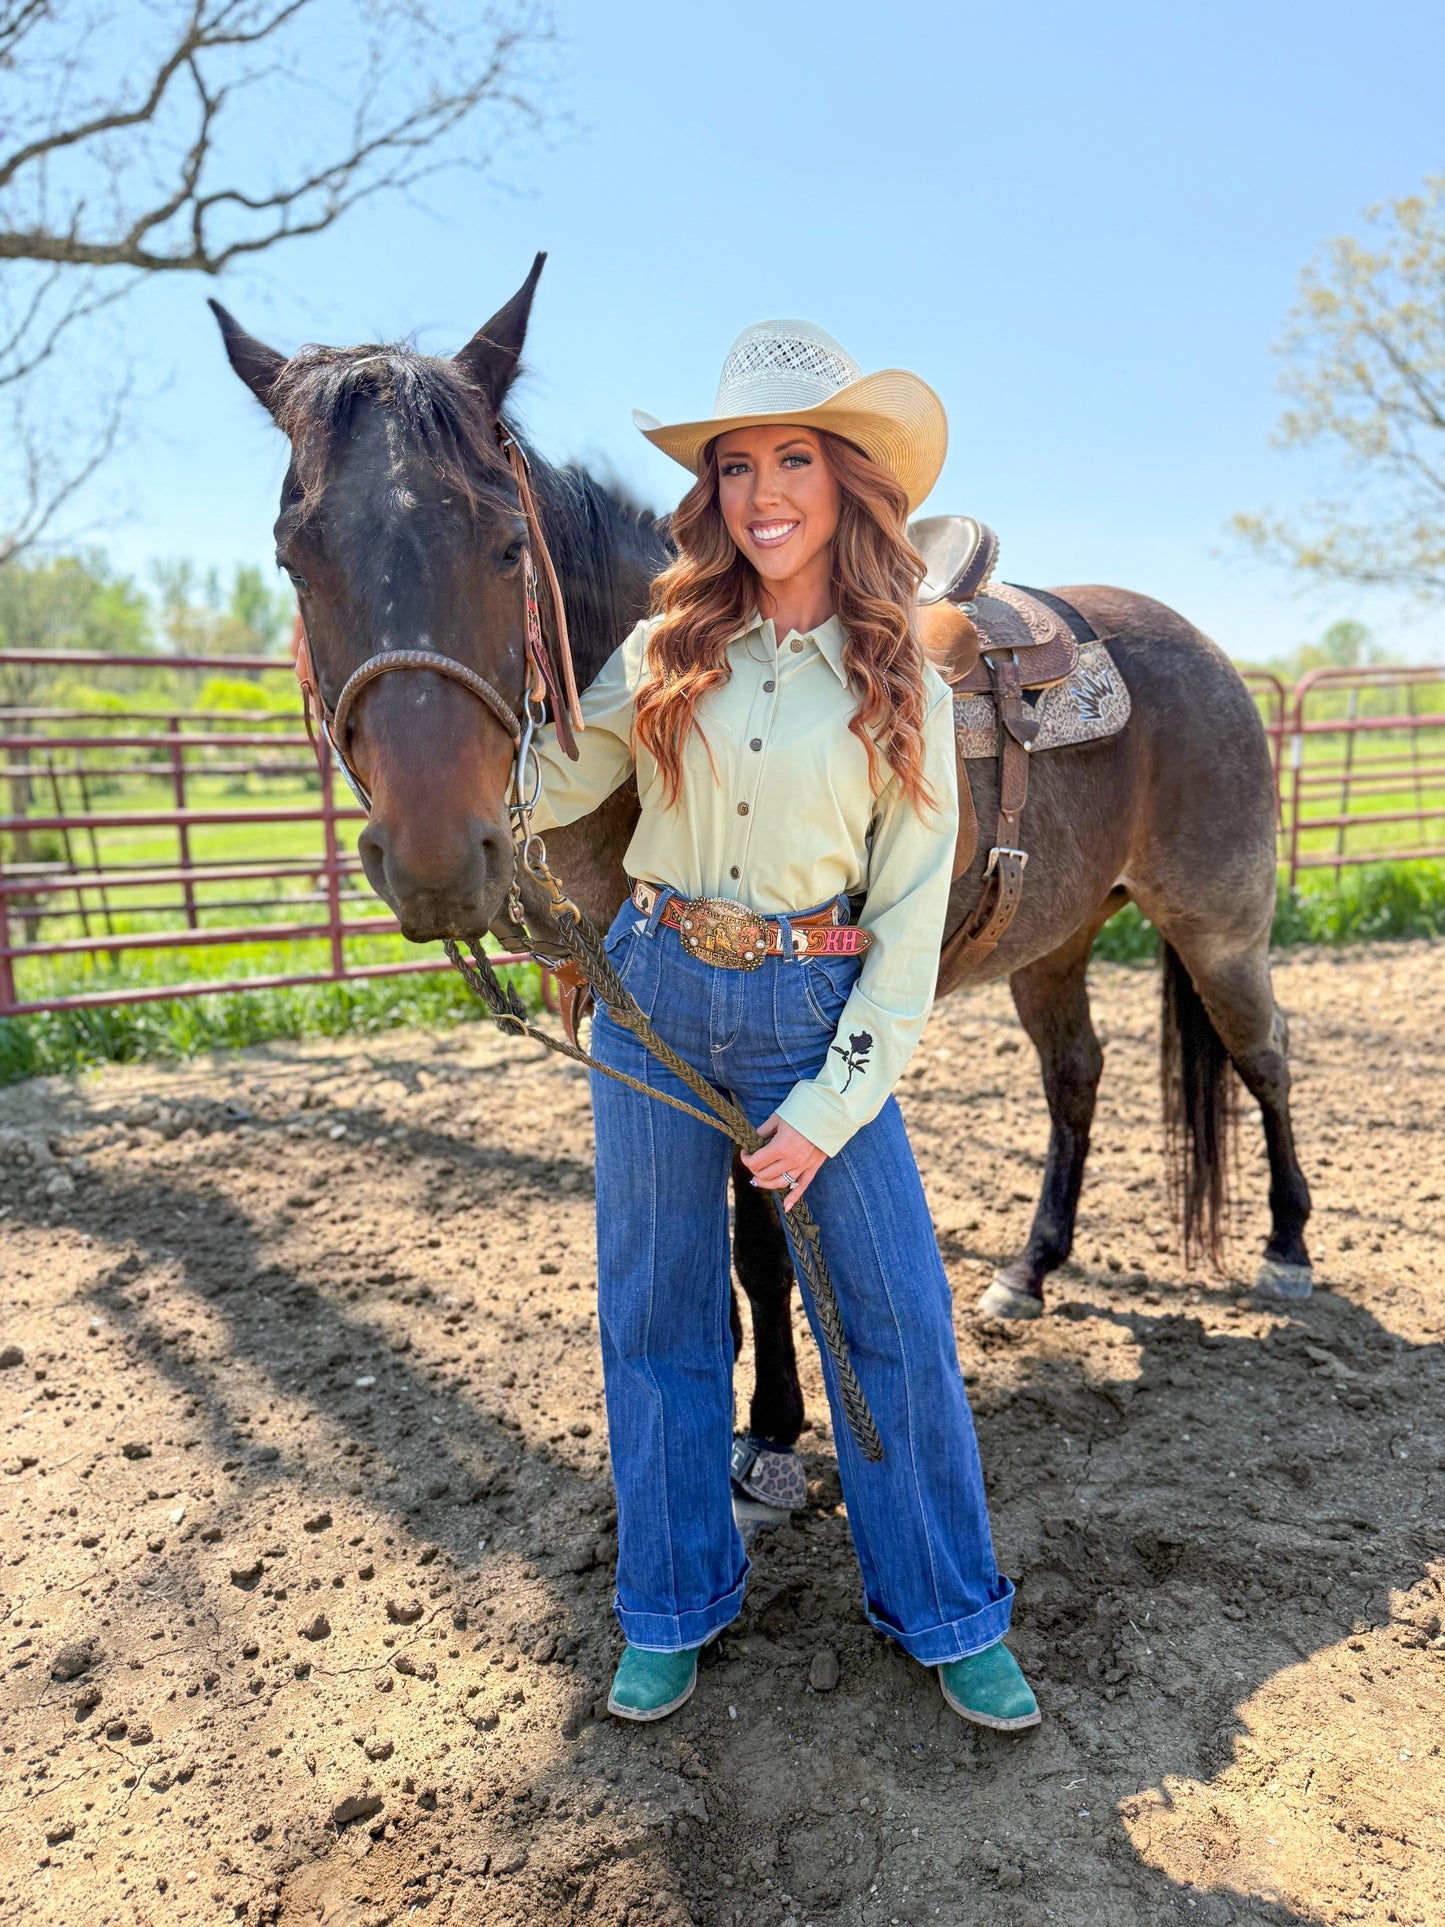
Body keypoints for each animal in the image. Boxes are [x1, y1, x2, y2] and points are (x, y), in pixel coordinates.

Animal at [209, 255, 1312, 1489]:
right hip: (1055, 942)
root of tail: (1201, 651)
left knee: (1262, 1054)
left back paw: (1285, 1247)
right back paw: (1029, 1271)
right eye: (294, 561)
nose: (439, 858)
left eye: (504, 545)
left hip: (1218, 930)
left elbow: (758, 1242)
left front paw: (774, 1427)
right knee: (1075, 1076)